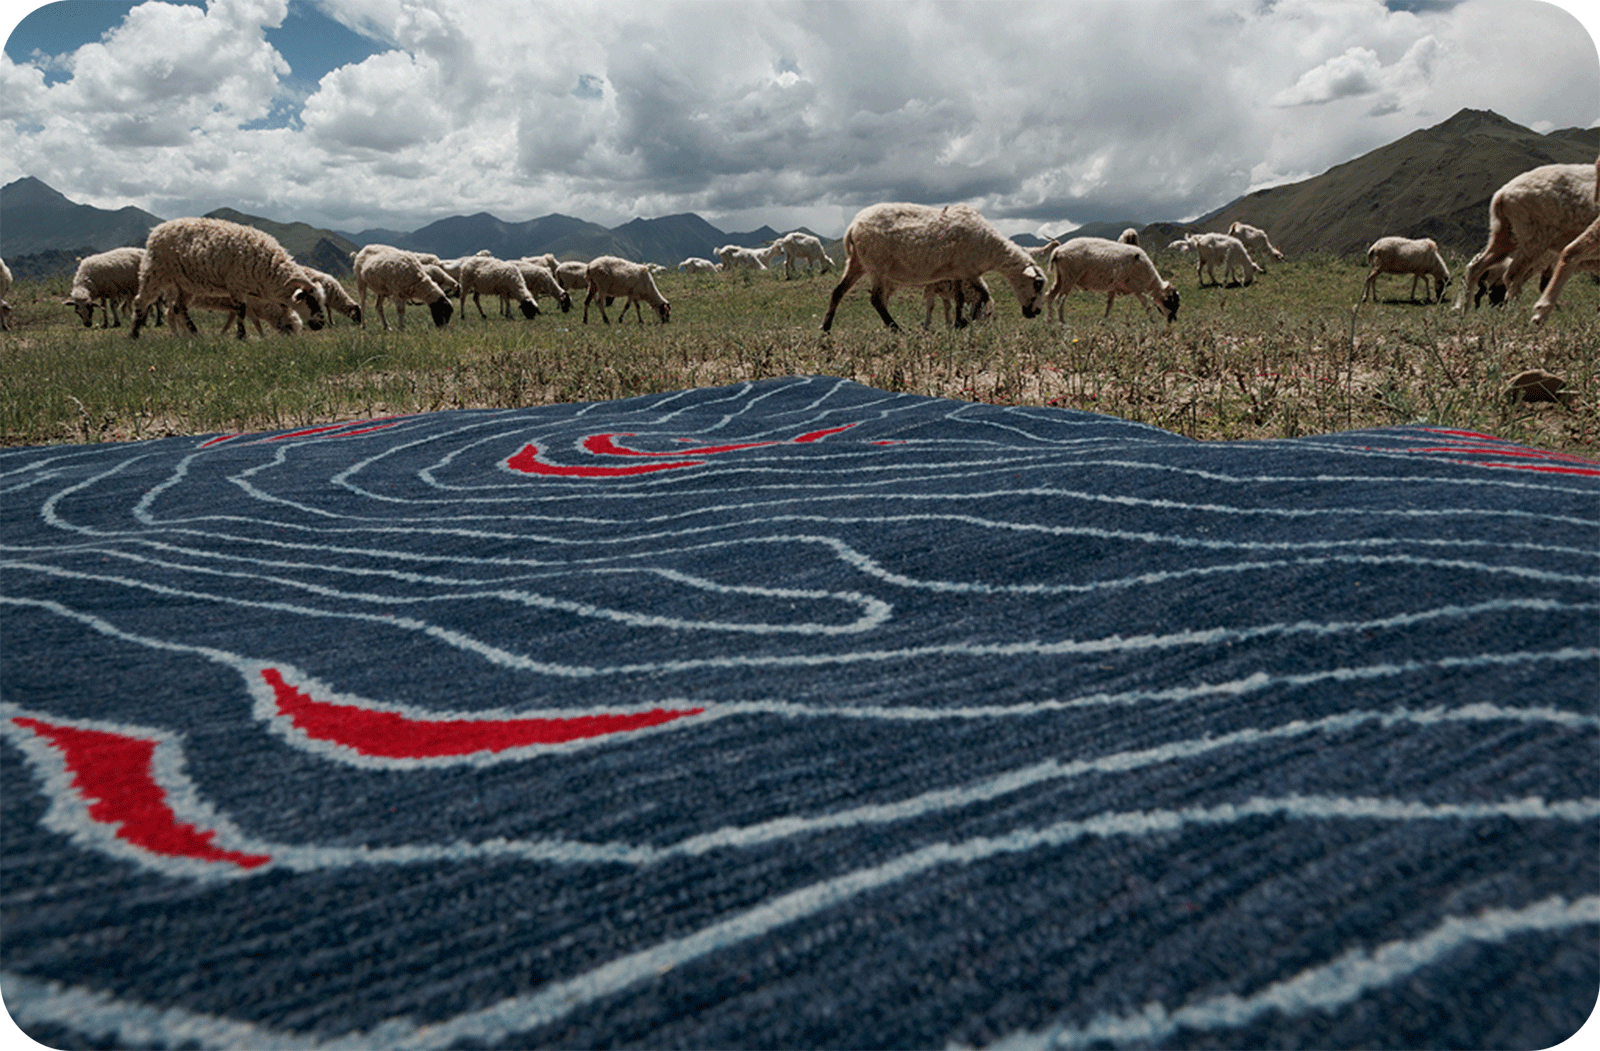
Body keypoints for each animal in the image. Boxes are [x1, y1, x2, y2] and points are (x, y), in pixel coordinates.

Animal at [129, 217, 323, 339]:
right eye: (311, 301)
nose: (320, 325)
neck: (270, 268)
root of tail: (156, 230)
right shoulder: (236, 285)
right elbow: (242, 312)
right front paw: (241, 336)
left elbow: (241, 316)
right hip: (155, 272)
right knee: (141, 301)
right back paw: (134, 334)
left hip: (185, 284)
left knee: (179, 309)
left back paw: (194, 334)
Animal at [819, 202, 1047, 332]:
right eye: (1037, 285)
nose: (1036, 312)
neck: (990, 247)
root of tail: (853, 226)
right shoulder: (968, 270)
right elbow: (982, 296)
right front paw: (970, 320)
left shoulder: (958, 272)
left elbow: (960, 299)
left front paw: (960, 323)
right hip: (877, 265)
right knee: (876, 299)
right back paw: (896, 329)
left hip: (857, 262)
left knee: (838, 292)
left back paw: (826, 327)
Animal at [1045, 237, 1180, 324]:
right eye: (1171, 301)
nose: (1173, 321)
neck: (1150, 281)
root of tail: (1058, 250)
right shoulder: (1137, 289)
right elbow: (1146, 306)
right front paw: (1152, 322)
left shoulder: (1113, 287)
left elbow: (1109, 305)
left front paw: (1104, 321)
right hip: (1069, 277)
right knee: (1059, 299)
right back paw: (1062, 322)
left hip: (1060, 277)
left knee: (1050, 295)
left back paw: (1050, 321)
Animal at [1457, 161, 1599, 311]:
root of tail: (1502, 193)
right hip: (1535, 238)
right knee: (1513, 275)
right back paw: (1515, 311)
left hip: (1507, 234)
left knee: (1476, 268)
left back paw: (1463, 310)